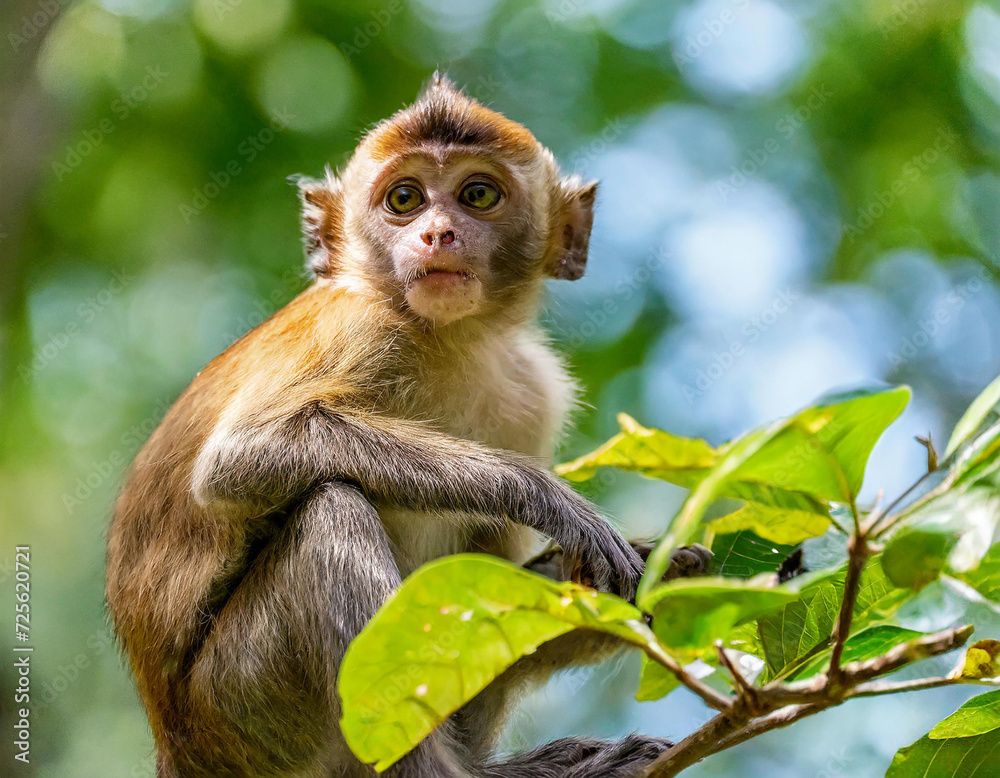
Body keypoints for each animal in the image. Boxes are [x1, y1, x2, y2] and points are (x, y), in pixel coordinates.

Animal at [107, 74, 672, 776]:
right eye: (405, 199)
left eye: (477, 195)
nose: (438, 234)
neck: (449, 342)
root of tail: (174, 744)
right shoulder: (358, 325)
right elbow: (239, 457)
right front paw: (544, 497)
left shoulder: (532, 394)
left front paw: (655, 578)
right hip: (243, 715)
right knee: (329, 515)